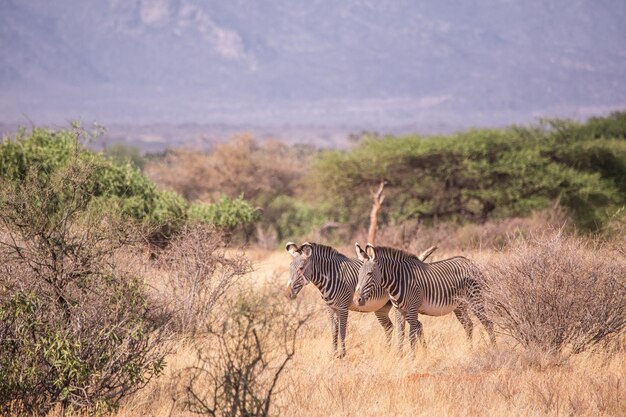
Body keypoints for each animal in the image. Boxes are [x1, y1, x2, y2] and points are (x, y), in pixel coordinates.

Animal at [352, 242, 492, 350]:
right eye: (358, 274)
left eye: (369, 274)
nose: (356, 300)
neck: (399, 280)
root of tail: (469, 262)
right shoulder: (399, 310)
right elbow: (400, 335)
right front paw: (399, 356)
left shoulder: (413, 308)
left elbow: (411, 335)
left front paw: (412, 358)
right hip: (459, 306)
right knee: (468, 325)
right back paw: (470, 350)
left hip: (475, 299)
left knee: (488, 323)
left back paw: (493, 348)